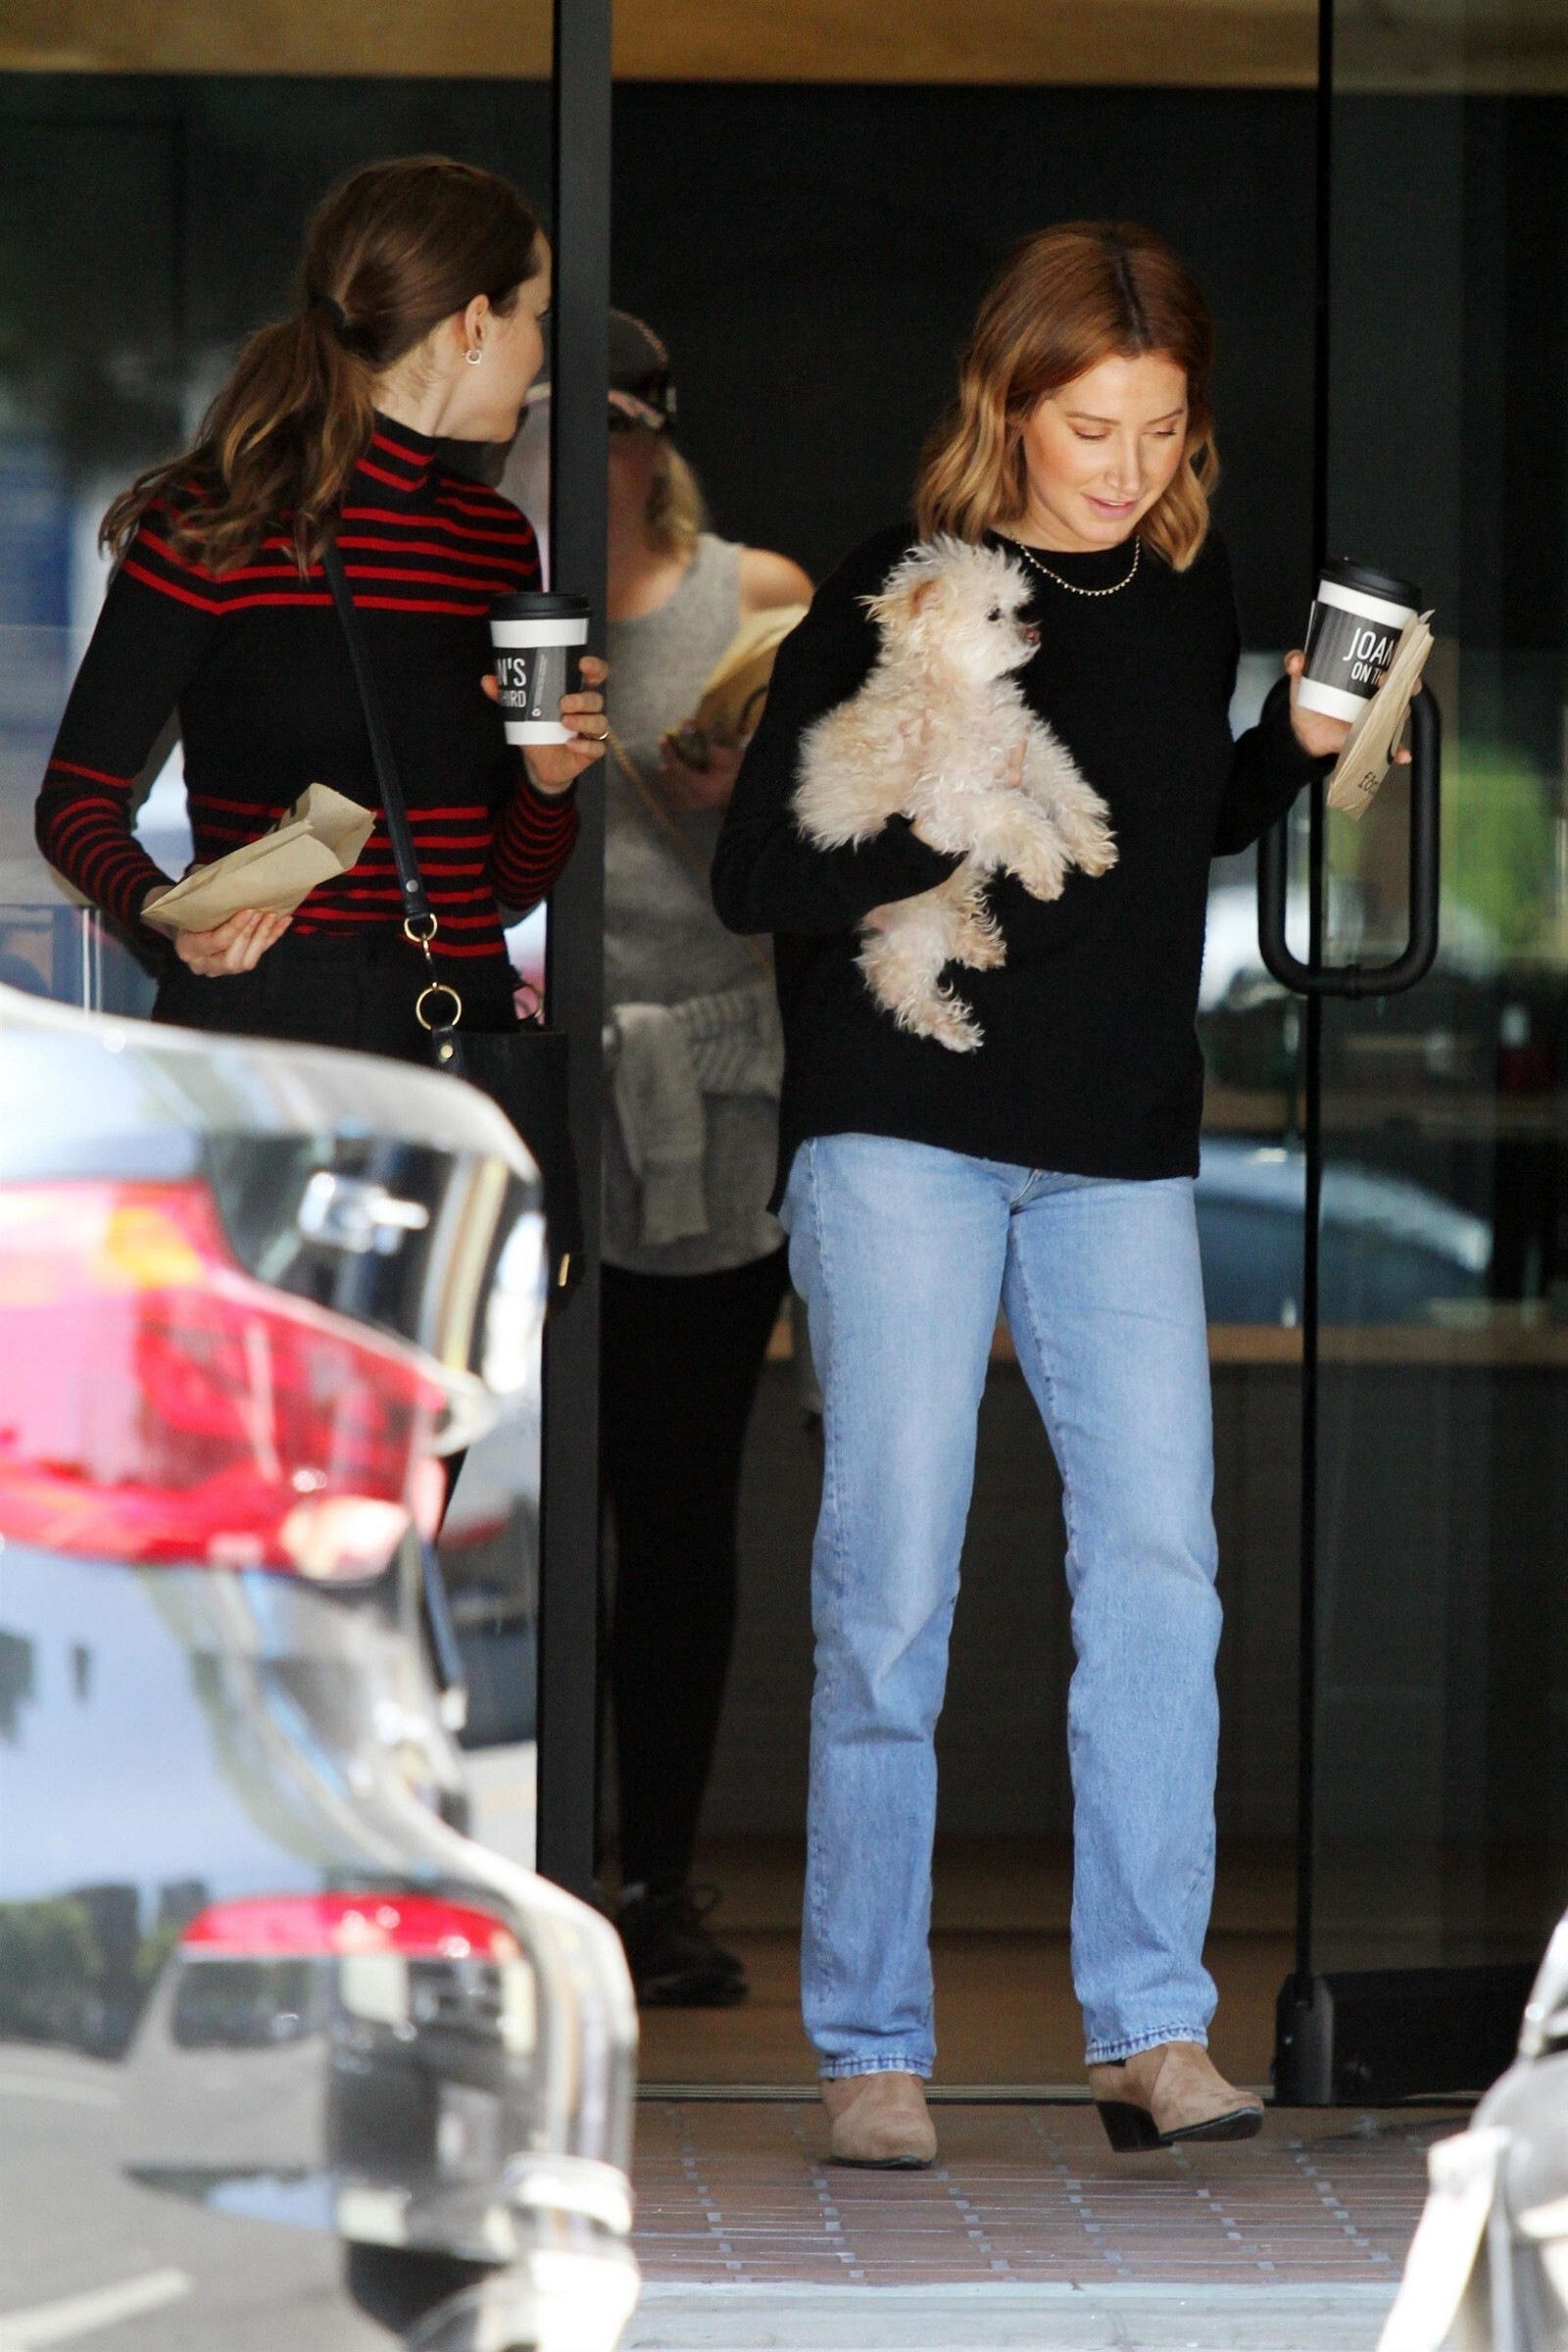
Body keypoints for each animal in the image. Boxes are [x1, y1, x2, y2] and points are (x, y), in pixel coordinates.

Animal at [792, 536, 1116, 1051]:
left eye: (1016, 609)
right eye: (993, 614)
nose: (1033, 634)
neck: (956, 692)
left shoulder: (1026, 750)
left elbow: (1065, 787)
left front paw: (1090, 844)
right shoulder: (948, 802)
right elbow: (1019, 815)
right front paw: (1046, 868)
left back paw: (978, 945)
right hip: (916, 916)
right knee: (893, 978)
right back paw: (952, 1029)